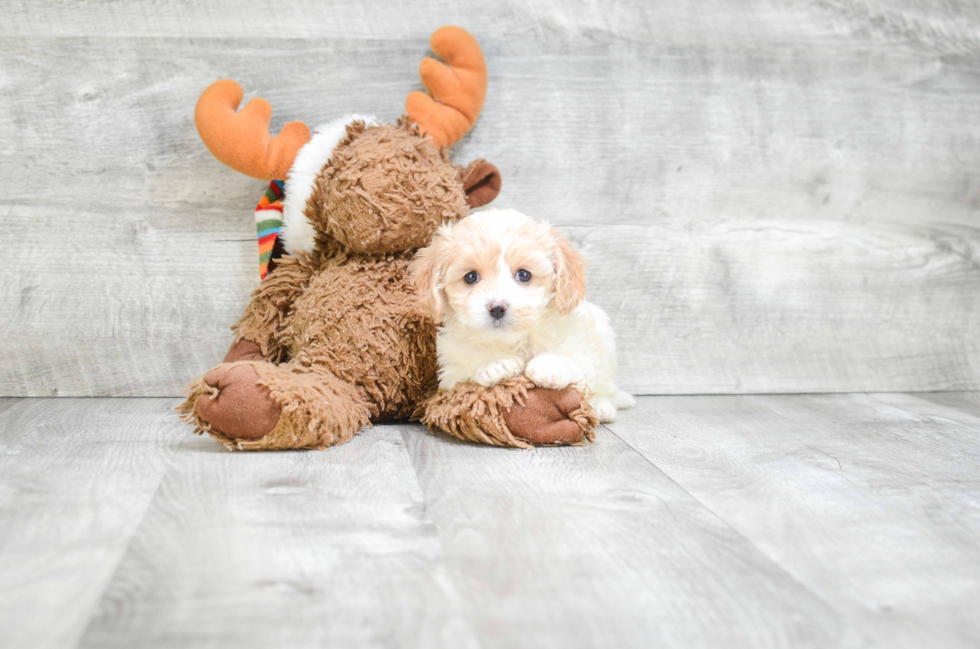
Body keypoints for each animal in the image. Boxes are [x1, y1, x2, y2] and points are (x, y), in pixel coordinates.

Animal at [408, 205, 632, 422]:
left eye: (524, 275)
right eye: (471, 277)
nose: (497, 307)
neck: (513, 340)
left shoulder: (582, 352)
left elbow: (579, 369)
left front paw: (550, 365)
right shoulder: (449, 375)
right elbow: (467, 365)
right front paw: (494, 363)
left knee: (604, 386)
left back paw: (602, 407)